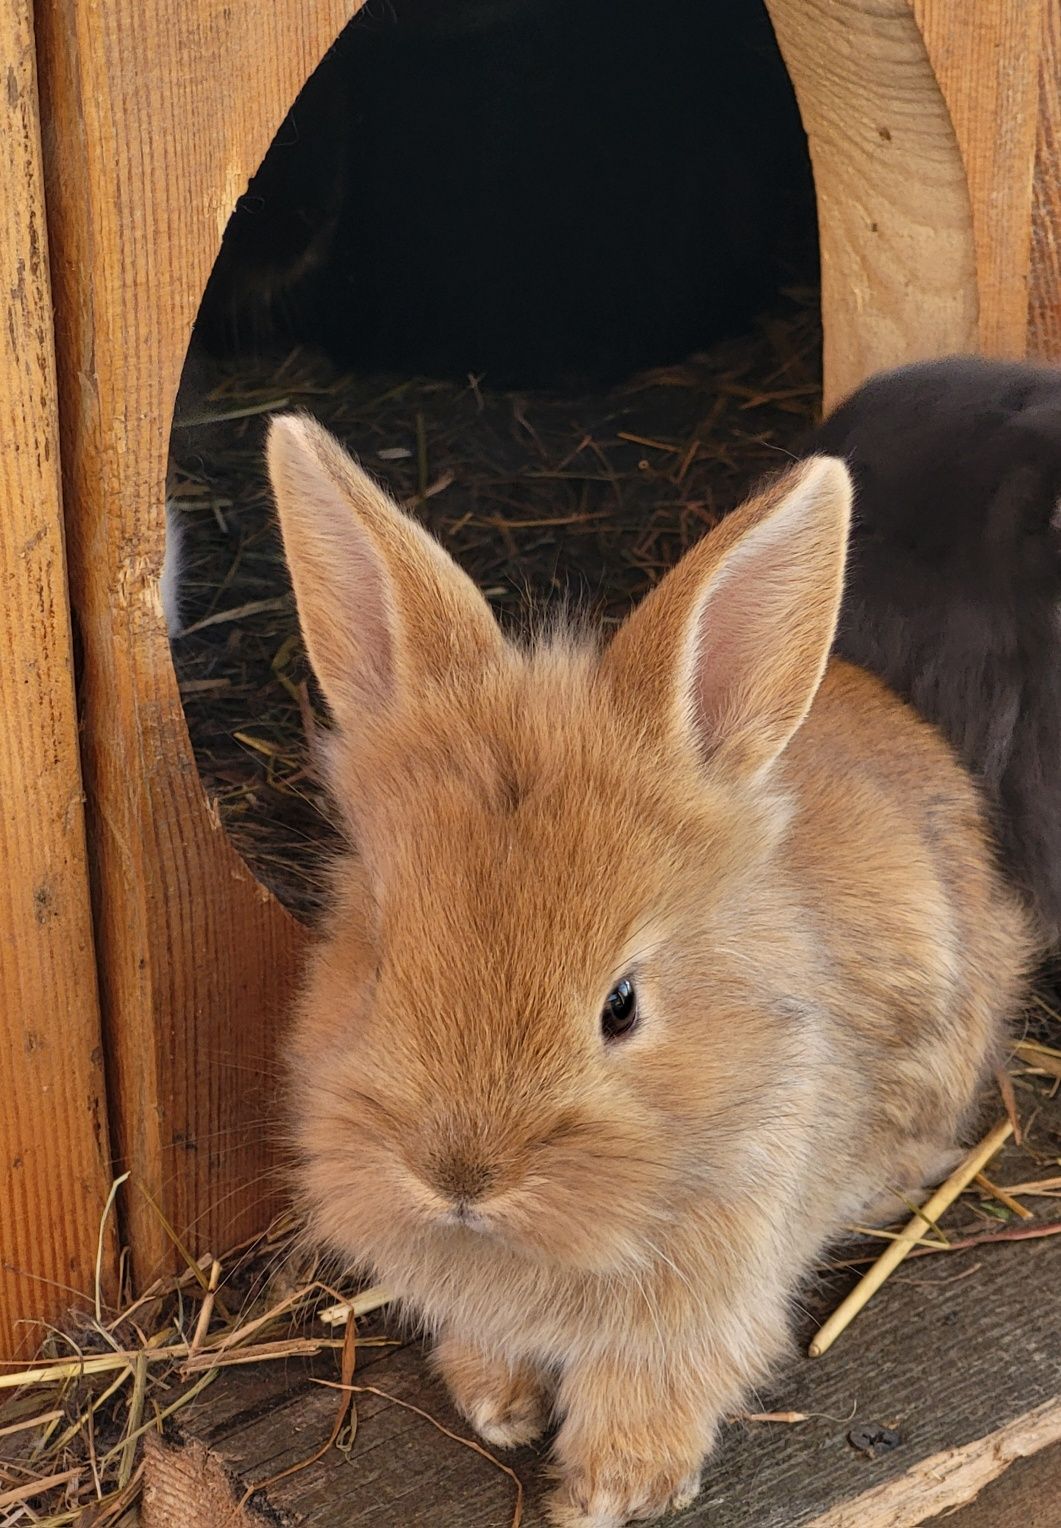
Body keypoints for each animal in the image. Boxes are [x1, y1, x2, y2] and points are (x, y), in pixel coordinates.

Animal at [270, 418, 1033, 1528]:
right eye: (376, 959)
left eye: (621, 1006)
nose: (457, 1176)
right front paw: (498, 1409)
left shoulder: (711, 1291)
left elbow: (656, 1385)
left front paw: (604, 1492)